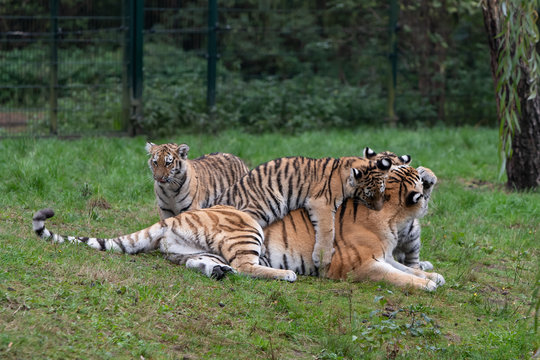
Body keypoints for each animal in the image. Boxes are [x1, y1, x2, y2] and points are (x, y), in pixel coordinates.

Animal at [32, 205, 298, 282]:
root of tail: (170, 220)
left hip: (192, 249)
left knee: (196, 263)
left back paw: (220, 271)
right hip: (248, 232)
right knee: (245, 267)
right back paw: (286, 274)